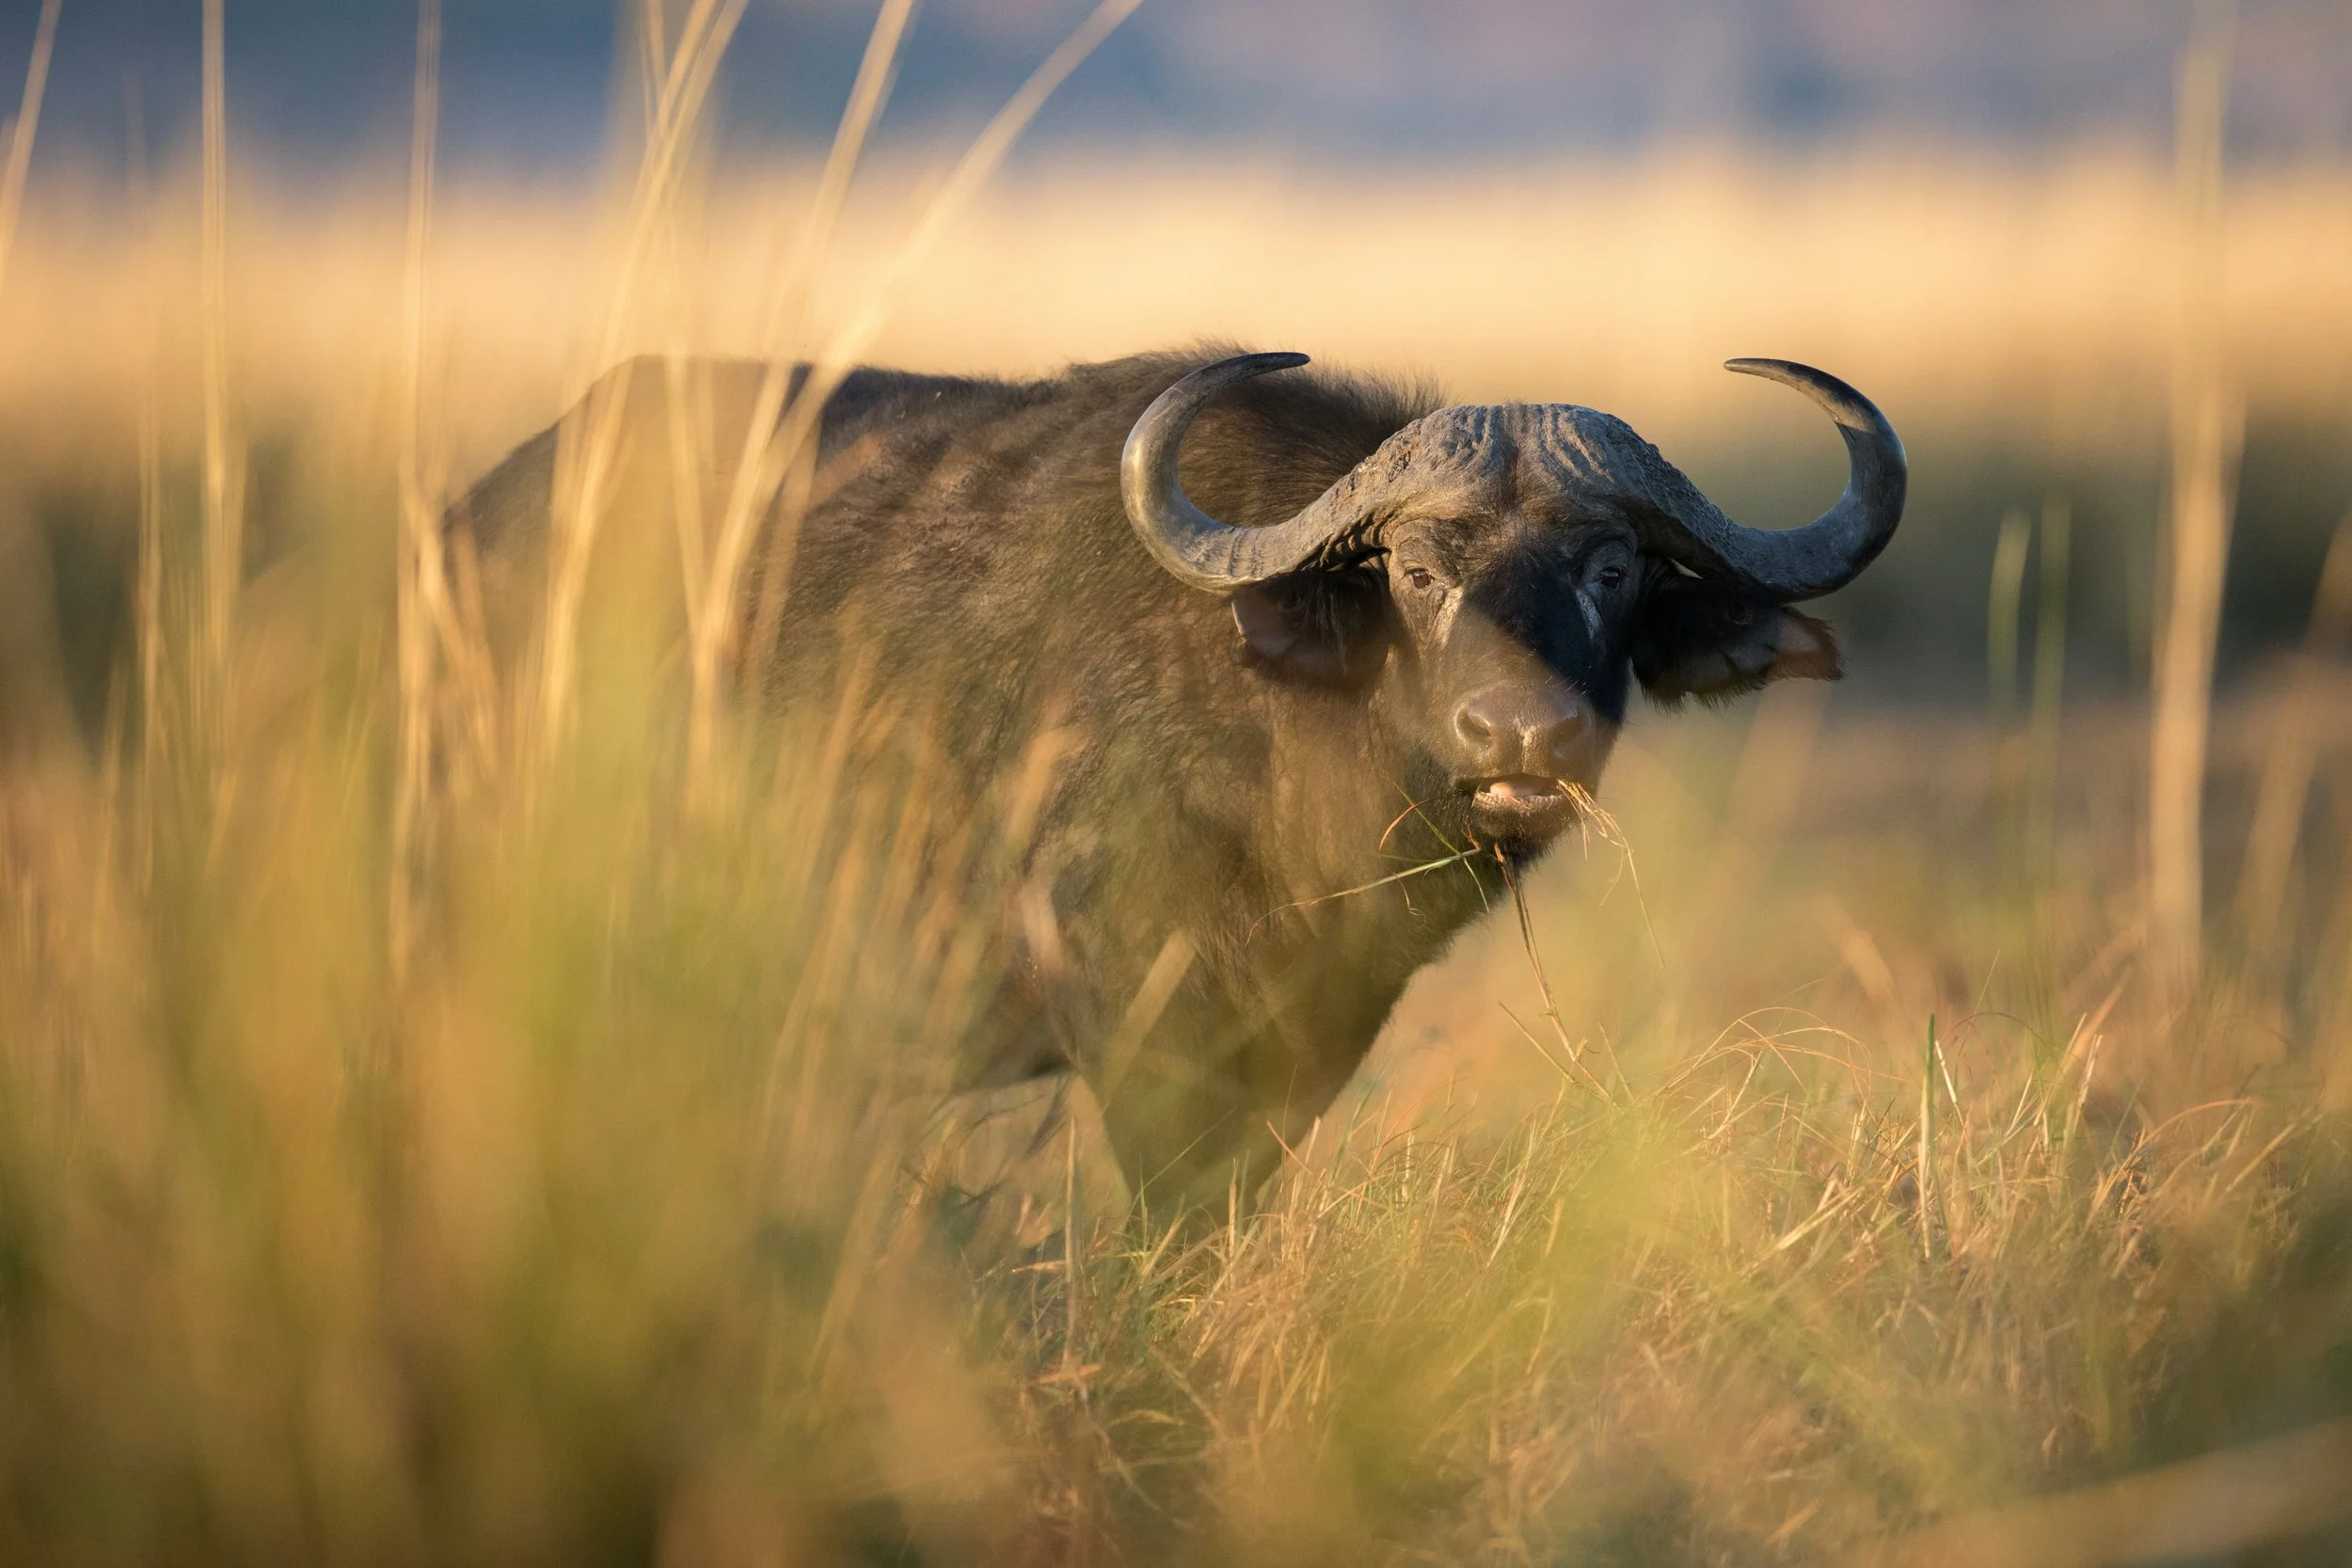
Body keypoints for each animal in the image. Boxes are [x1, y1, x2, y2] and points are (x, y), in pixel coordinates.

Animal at [452, 348, 1904, 1214]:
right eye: (1414, 570)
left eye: (1614, 568)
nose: (1521, 734)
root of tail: (463, 531)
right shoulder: (1146, 1046)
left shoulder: (1306, 1050)